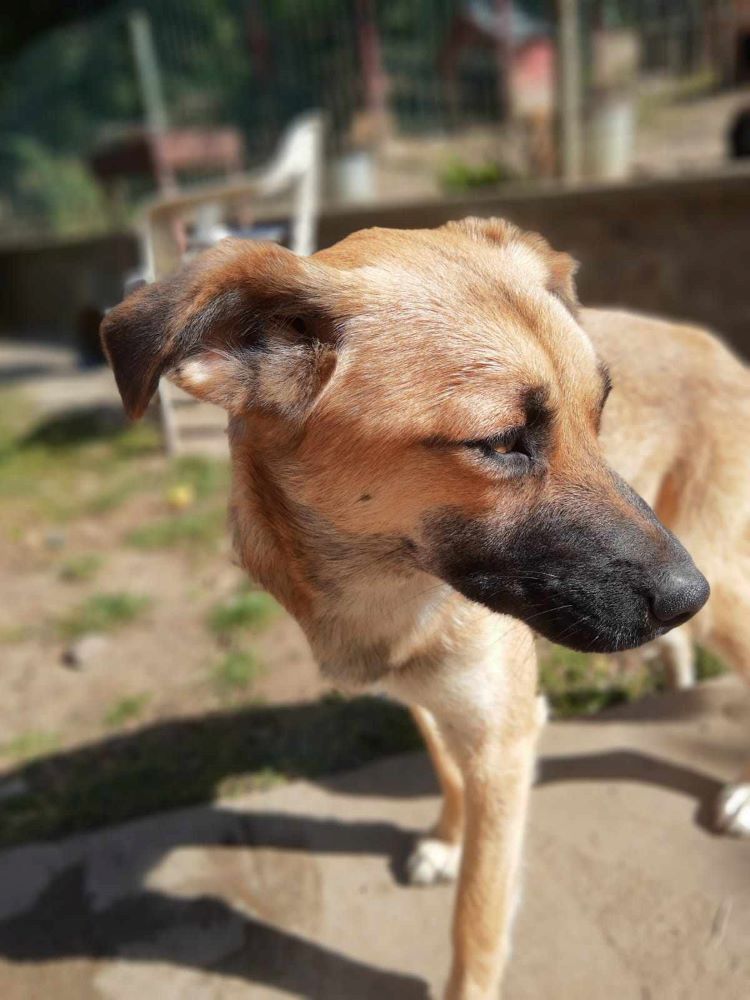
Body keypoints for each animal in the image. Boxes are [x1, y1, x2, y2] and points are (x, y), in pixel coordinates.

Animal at [97, 221, 732, 1000]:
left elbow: (478, 916)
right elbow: (444, 766)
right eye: (500, 442)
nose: (687, 596)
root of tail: (709, 341)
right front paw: (445, 840)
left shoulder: (504, 740)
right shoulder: (425, 695)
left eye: (599, 414)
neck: (393, 584)